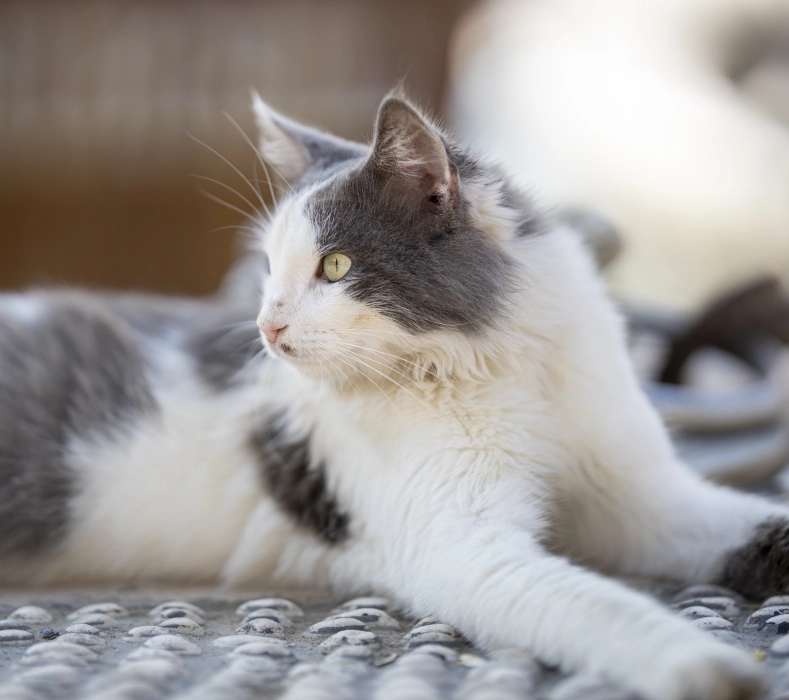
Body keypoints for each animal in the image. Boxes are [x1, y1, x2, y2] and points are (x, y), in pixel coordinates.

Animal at [1, 90, 788, 696]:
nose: (266, 326)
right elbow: (593, 606)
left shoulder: (641, 496)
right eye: (266, 268)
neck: (503, 367)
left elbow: (747, 526)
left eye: (335, 265)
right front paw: (703, 667)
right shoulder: (459, 545)